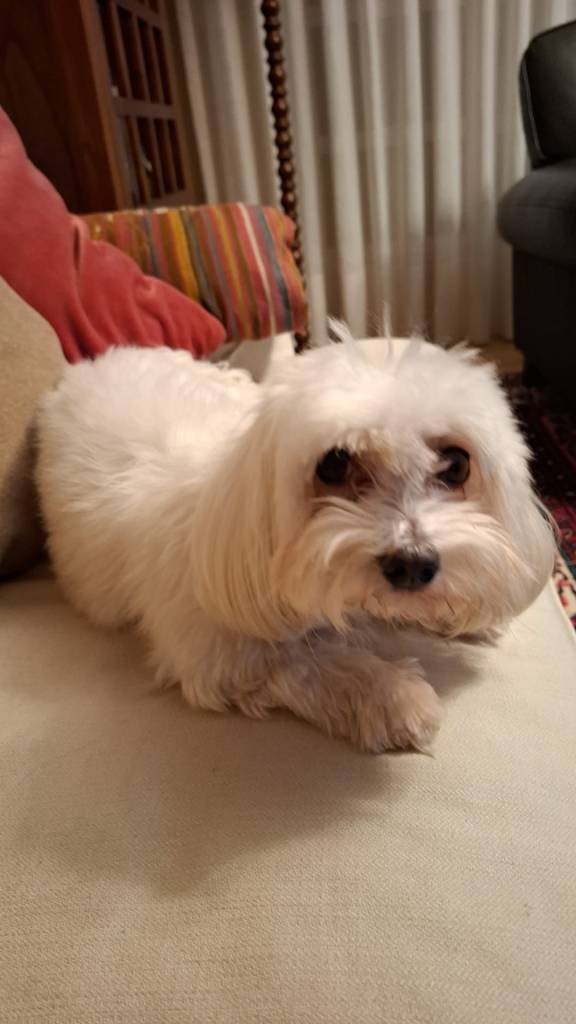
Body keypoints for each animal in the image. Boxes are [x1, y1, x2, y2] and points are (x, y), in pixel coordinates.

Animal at [35, 336, 555, 753]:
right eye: (334, 464)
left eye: (456, 463)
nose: (412, 564)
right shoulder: (217, 655)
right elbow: (310, 662)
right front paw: (394, 696)